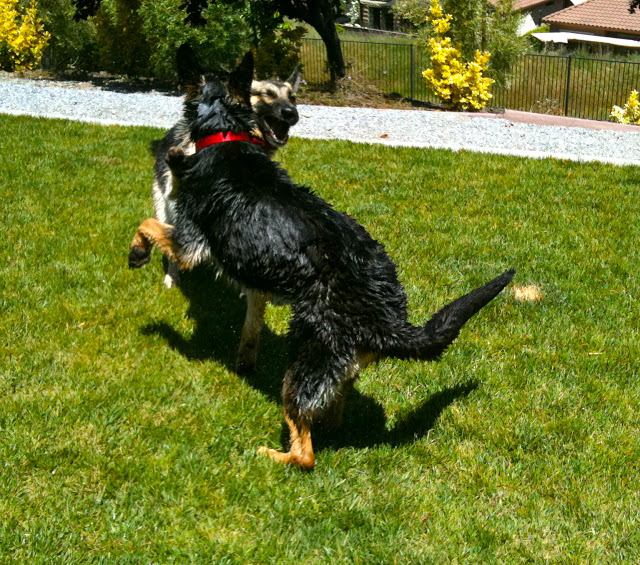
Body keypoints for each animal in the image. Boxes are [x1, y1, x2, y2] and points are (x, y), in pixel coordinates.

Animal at [129, 45, 516, 468]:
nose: (168, 150)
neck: (226, 131)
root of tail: (389, 321)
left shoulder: (190, 243)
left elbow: (149, 223)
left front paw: (138, 251)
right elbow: (249, 327)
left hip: (307, 361)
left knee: (306, 452)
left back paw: (272, 454)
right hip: (338, 365)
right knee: (332, 414)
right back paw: (329, 429)